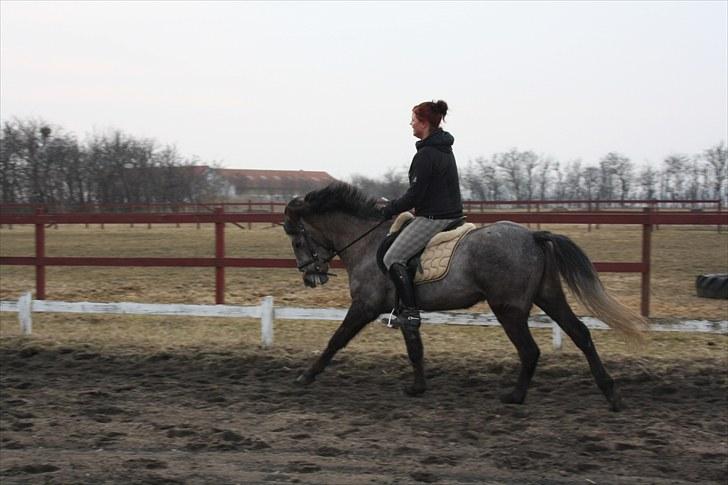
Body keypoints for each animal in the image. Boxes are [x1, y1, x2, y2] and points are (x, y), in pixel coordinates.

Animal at [283, 182, 648, 411]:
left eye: (297, 240)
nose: (311, 277)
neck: (366, 241)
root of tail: (532, 235)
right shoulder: (405, 310)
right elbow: (414, 348)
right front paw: (417, 388)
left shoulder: (364, 306)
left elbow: (336, 340)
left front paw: (305, 376)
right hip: (549, 297)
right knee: (580, 334)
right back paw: (612, 395)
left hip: (508, 309)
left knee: (530, 350)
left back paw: (515, 396)